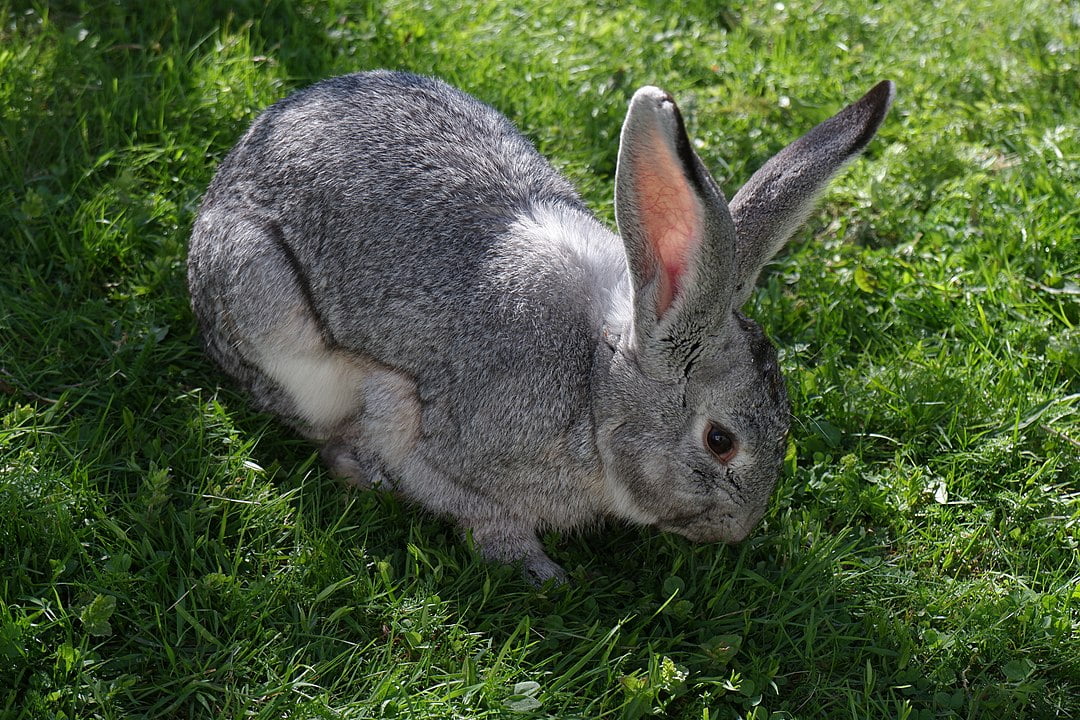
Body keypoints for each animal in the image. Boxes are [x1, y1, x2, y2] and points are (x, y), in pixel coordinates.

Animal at [188, 70, 893, 584]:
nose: (737, 529)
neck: (594, 387)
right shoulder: (418, 427)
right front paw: (536, 568)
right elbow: (465, 500)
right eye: (721, 441)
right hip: (267, 305)